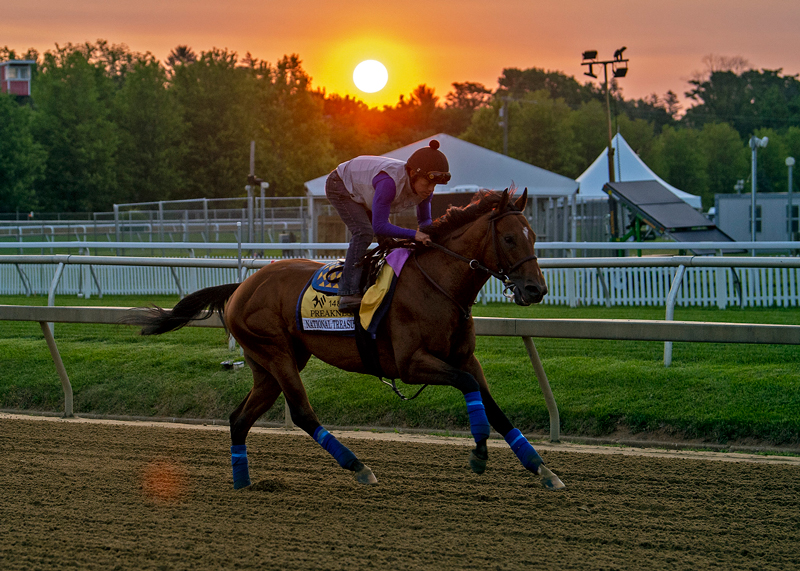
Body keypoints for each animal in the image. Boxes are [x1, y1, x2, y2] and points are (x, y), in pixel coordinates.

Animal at [125, 189, 564, 492]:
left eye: (534, 235)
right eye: (509, 238)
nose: (536, 289)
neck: (437, 285)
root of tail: (242, 286)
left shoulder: (465, 358)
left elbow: (494, 408)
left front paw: (542, 468)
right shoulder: (412, 363)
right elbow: (471, 389)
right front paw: (479, 451)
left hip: (268, 365)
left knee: (239, 418)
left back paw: (243, 481)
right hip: (276, 353)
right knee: (302, 413)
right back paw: (358, 467)